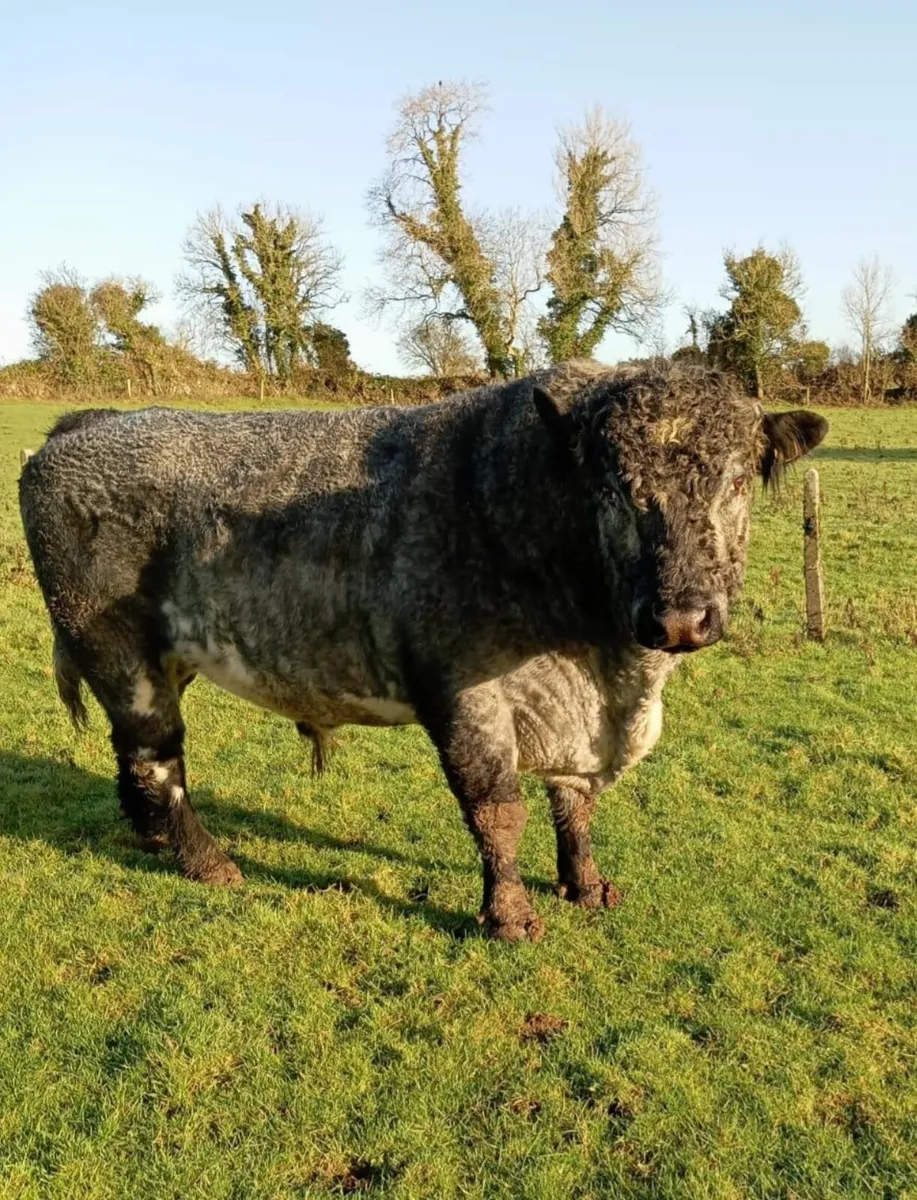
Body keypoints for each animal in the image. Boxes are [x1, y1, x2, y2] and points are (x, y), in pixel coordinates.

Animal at [19, 362, 827, 941]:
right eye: (615, 490)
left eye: (736, 481)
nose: (682, 617)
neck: (608, 669)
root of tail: (86, 426)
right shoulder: (464, 696)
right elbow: (498, 811)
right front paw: (509, 917)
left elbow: (575, 804)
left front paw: (585, 885)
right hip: (118, 655)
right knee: (156, 760)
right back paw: (209, 864)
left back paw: (153, 842)